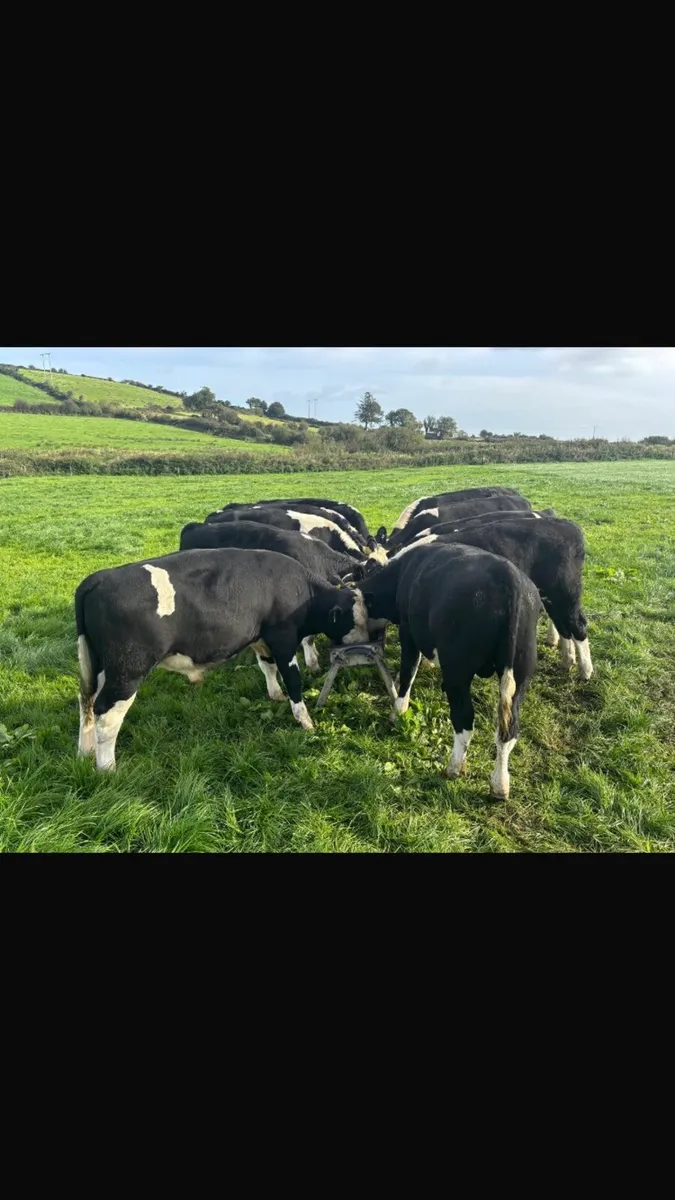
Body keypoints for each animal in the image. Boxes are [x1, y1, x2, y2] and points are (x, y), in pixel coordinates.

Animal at [75, 548, 371, 770]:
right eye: (355, 619)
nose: (370, 638)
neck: (301, 588)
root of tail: (99, 578)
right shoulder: (283, 638)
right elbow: (293, 679)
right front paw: (305, 721)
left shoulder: (260, 639)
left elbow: (267, 668)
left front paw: (275, 695)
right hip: (128, 670)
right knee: (106, 713)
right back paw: (107, 767)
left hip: (98, 666)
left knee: (86, 701)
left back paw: (85, 751)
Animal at [358, 540, 542, 799]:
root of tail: (510, 580)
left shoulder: (409, 632)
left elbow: (408, 671)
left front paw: (398, 712)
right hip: (520, 675)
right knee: (509, 729)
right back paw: (500, 784)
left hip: (458, 671)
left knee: (464, 720)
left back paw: (453, 768)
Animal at [408, 517, 593, 680]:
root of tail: (568, 525)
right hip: (553, 597)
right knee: (563, 625)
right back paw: (568, 661)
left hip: (565, 591)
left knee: (578, 624)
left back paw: (585, 671)